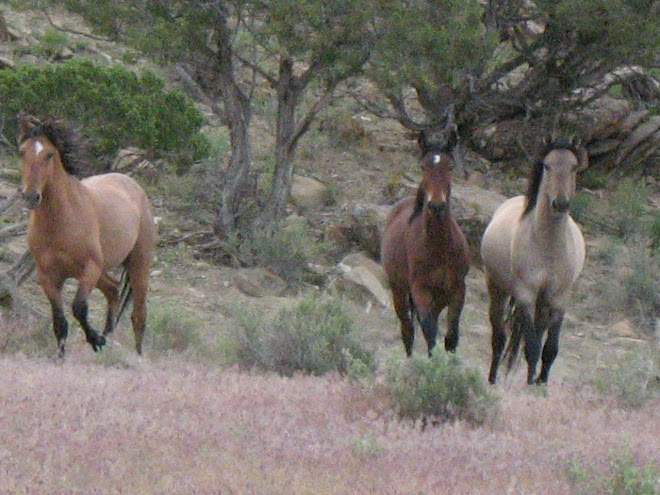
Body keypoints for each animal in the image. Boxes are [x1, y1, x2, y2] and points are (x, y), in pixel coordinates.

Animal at [18, 116, 155, 356]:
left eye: (49, 154)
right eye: (21, 152)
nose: (30, 196)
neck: (61, 220)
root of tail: (132, 184)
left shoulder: (89, 269)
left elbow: (79, 308)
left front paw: (95, 340)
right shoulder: (48, 277)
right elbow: (59, 322)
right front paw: (61, 357)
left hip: (138, 263)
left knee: (139, 314)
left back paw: (136, 355)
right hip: (101, 271)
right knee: (113, 290)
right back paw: (108, 338)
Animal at [480, 138, 588, 386]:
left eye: (573, 168)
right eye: (547, 166)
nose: (560, 203)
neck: (548, 247)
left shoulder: (558, 299)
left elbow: (549, 348)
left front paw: (540, 384)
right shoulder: (526, 296)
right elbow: (531, 346)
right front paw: (530, 384)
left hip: (542, 303)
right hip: (497, 289)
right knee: (499, 338)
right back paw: (492, 379)